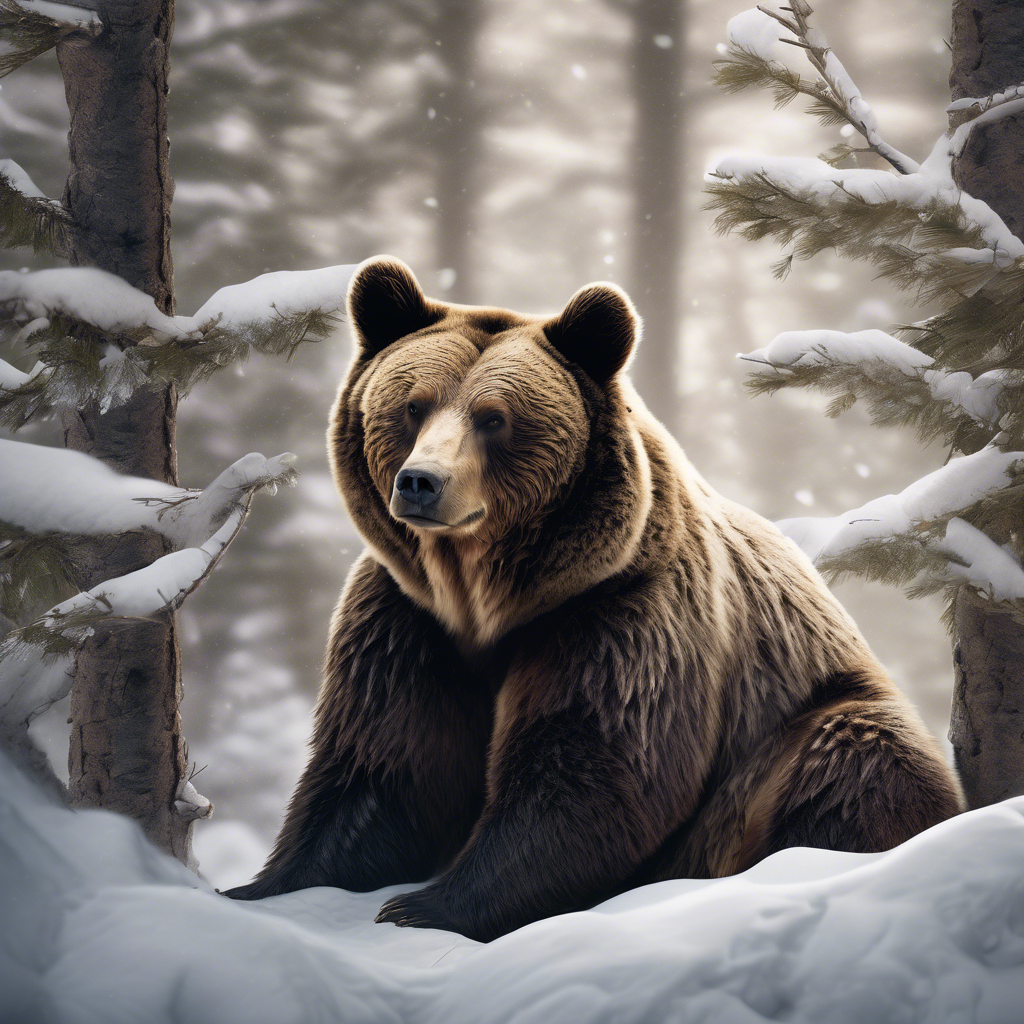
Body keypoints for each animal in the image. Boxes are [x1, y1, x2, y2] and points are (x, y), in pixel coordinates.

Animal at [226, 255, 964, 941]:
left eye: (493, 418)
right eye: (412, 404)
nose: (421, 482)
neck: (487, 597)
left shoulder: (617, 611)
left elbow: (591, 767)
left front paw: (421, 905)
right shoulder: (406, 618)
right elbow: (381, 766)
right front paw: (264, 890)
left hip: (798, 734)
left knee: (852, 759)